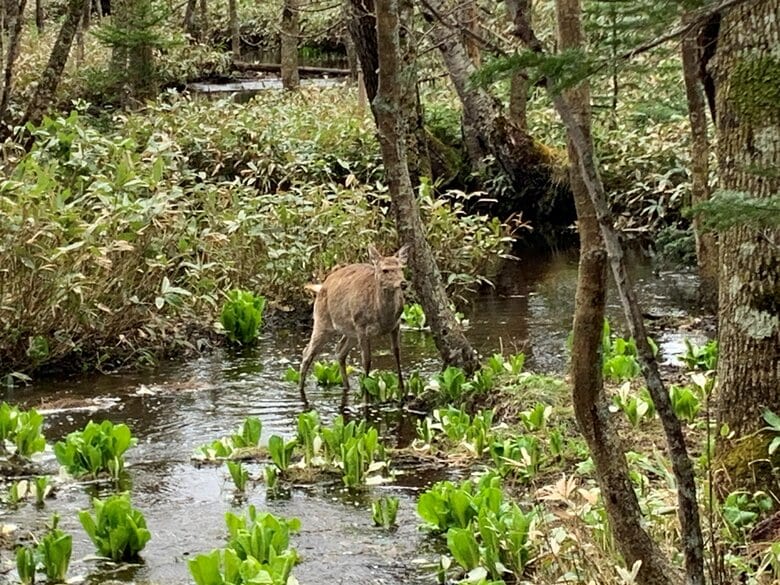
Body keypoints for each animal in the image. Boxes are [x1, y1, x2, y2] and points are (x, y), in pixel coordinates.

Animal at [298, 244, 410, 404]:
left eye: (402, 268)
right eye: (385, 270)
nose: (403, 283)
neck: (383, 316)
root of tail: (321, 286)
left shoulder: (396, 324)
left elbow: (397, 353)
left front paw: (402, 391)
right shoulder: (362, 327)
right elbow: (366, 359)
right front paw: (366, 395)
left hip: (350, 331)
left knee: (340, 350)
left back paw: (347, 386)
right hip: (322, 321)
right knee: (307, 352)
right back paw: (300, 389)